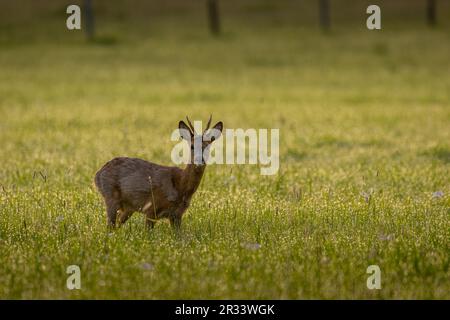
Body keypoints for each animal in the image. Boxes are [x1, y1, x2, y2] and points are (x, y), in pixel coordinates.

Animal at [93, 116, 223, 231]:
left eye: (208, 147)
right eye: (192, 146)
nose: (199, 160)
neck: (180, 185)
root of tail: (98, 174)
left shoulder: (176, 215)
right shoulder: (152, 207)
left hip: (128, 207)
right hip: (110, 196)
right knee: (110, 227)